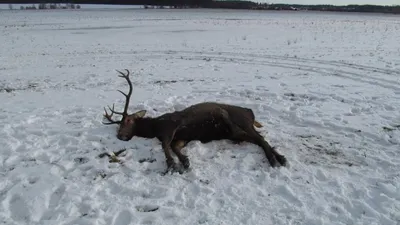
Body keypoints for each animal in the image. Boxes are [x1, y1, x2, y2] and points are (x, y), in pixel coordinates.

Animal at [103, 69, 288, 173]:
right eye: (118, 125)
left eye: (127, 120)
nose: (120, 136)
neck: (154, 127)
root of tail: (251, 112)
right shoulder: (181, 138)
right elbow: (174, 147)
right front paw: (184, 161)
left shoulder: (170, 127)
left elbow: (165, 145)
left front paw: (172, 164)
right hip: (239, 131)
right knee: (261, 139)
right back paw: (281, 158)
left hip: (239, 123)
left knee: (260, 139)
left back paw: (275, 160)